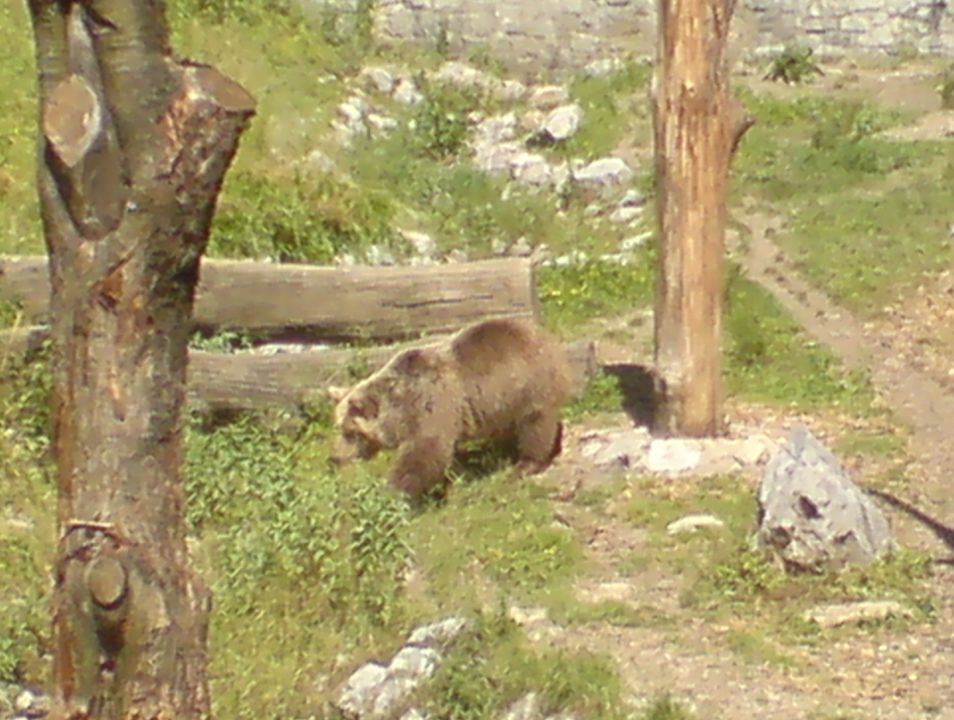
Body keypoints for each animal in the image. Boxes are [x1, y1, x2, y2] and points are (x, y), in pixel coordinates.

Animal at [328, 316, 568, 500]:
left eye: (350, 432)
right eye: (339, 427)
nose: (335, 458)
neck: (401, 409)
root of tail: (544, 333)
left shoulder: (433, 406)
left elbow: (424, 453)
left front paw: (393, 492)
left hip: (529, 386)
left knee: (535, 425)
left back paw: (525, 463)